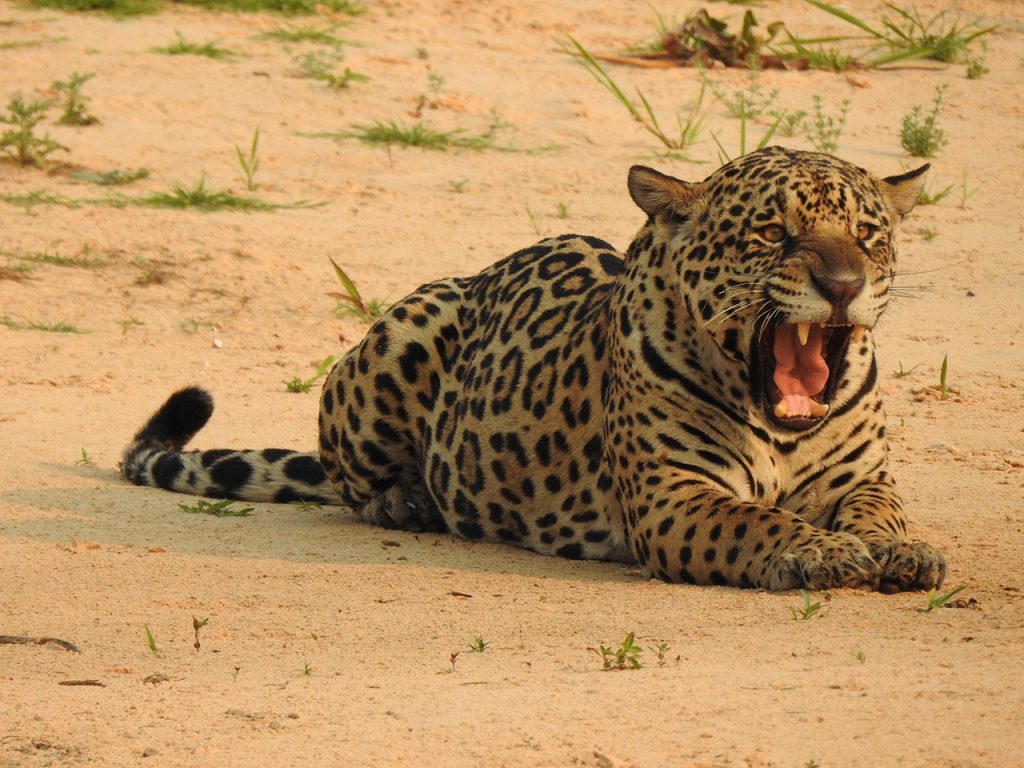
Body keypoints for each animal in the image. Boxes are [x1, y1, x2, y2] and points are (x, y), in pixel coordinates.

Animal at [122, 146, 946, 592]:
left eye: (868, 235)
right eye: (773, 233)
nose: (842, 285)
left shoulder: (863, 478)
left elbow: (883, 512)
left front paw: (902, 550)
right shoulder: (675, 498)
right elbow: (758, 521)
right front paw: (821, 551)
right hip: (401, 333)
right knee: (353, 481)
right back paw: (406, 500)